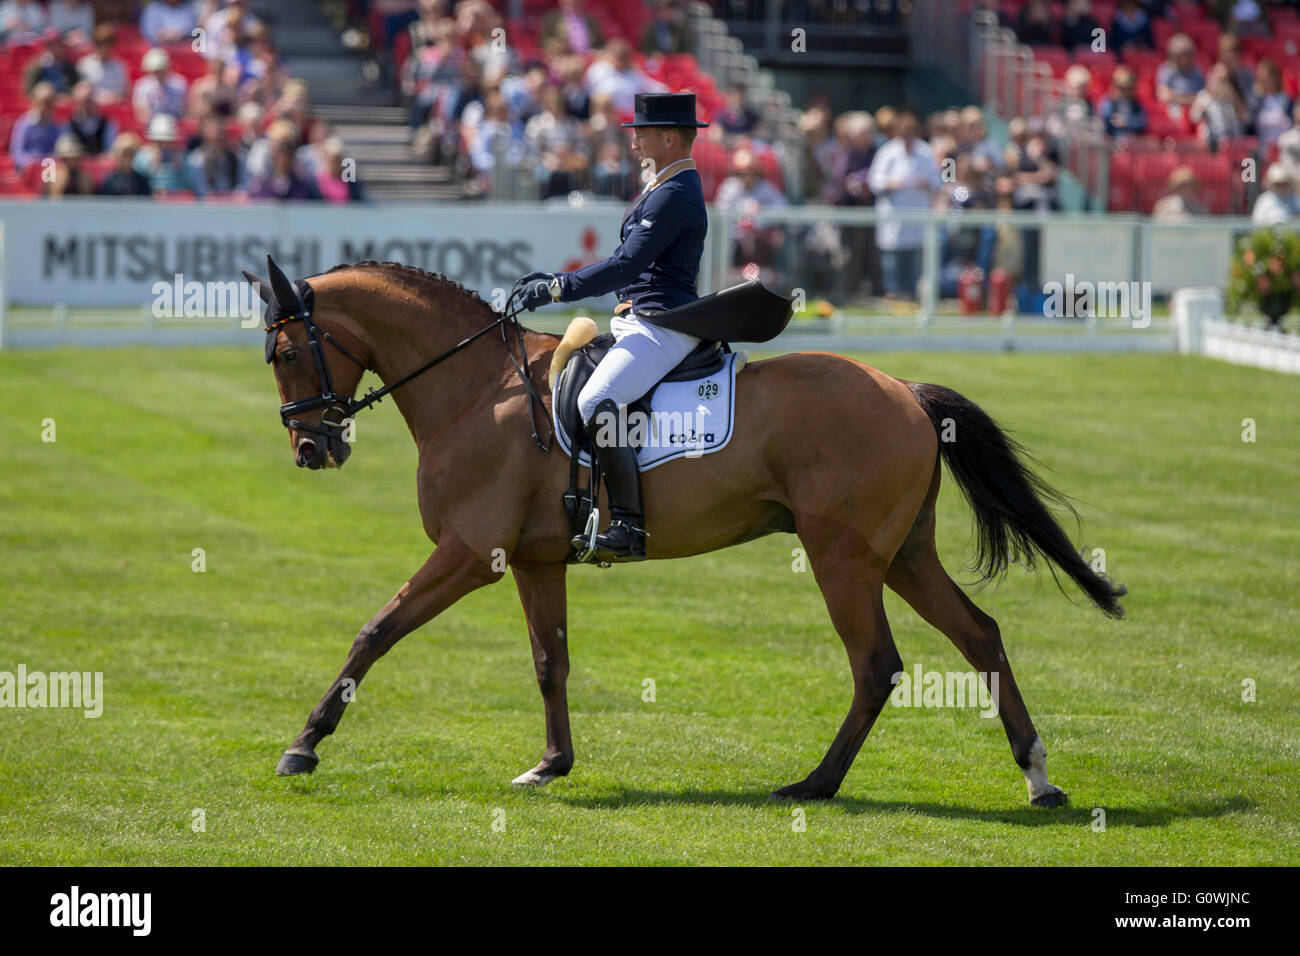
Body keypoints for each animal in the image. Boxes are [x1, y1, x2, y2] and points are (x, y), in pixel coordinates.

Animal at [245, 256, 1128, 806]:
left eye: (284, 352)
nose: (310, 449)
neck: (476, 387)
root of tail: (906, 391)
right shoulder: (533, 561)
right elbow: (550, 663)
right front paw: (552, 765)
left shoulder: (468, 554)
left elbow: (375, 630)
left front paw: (305, 745)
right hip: (904, 554)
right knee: (980, 636)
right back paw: (1039, 779)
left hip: (843, 557)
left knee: (876, 665)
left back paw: (814, 785)